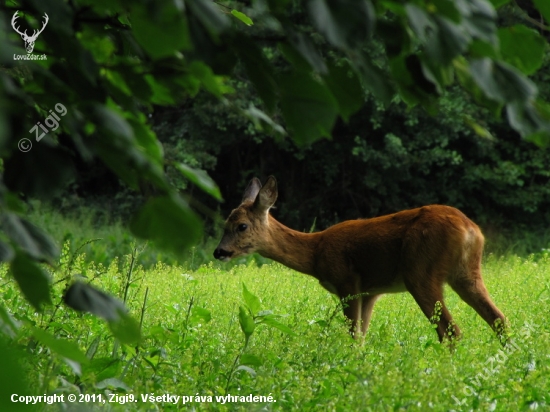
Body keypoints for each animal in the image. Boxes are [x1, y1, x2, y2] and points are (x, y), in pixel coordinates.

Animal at [215, 175, 508, 342]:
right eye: (224, 224)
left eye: (241, 226)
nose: (219, 252)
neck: (316, 251)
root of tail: (470, 230)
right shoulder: (370, 291)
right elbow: (362, 337)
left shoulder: (347, 281)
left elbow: (353, 335)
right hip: (467, 273)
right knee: (499, 320)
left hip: (421, 272)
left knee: (451, 331)